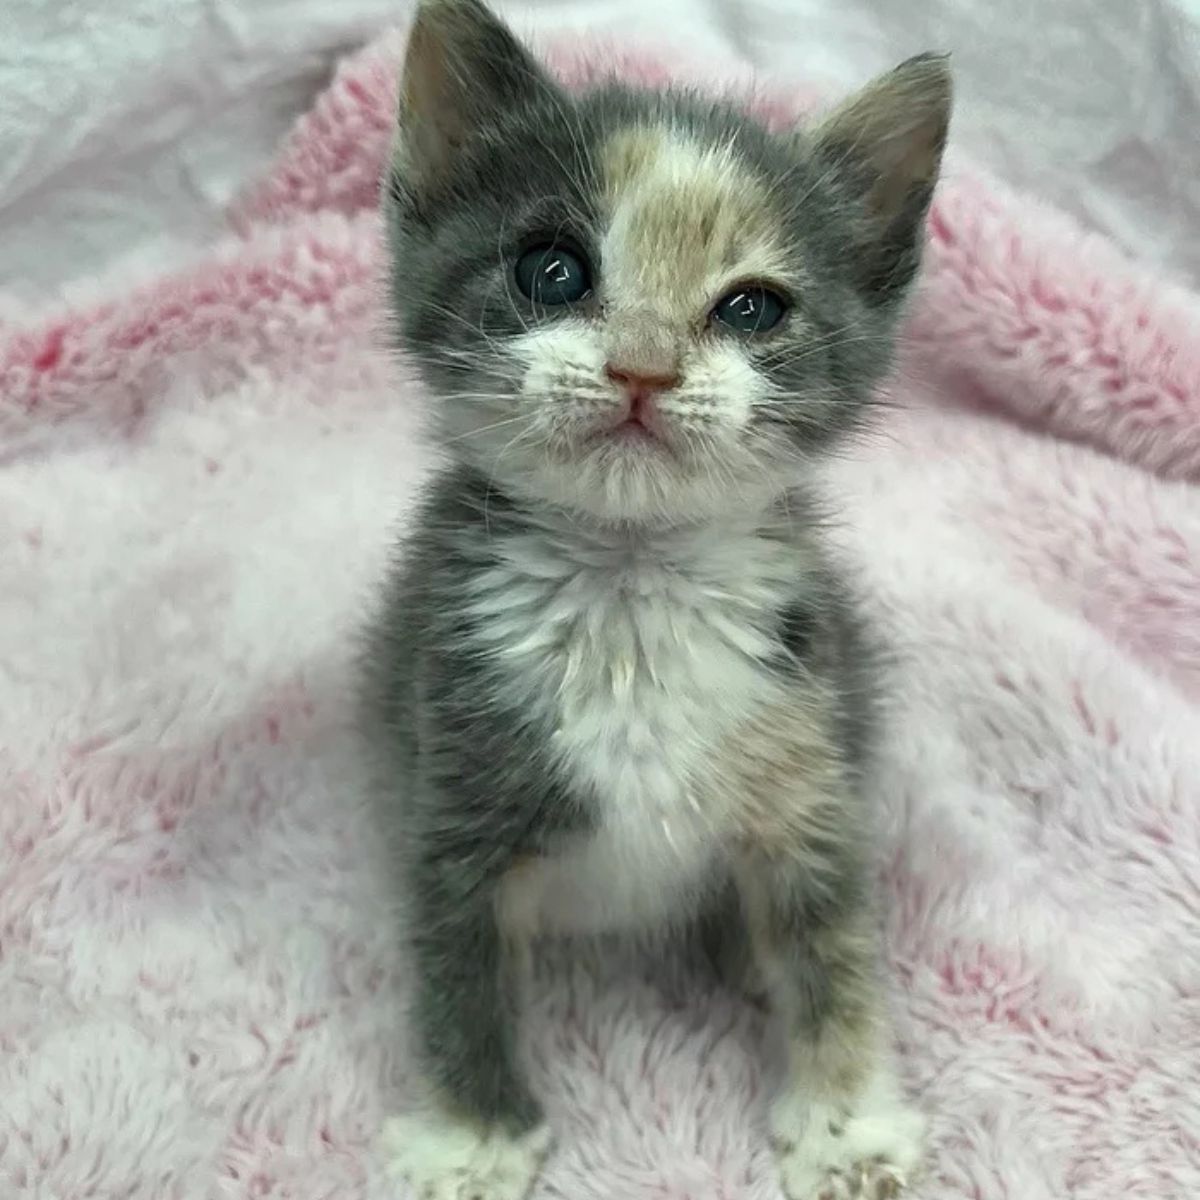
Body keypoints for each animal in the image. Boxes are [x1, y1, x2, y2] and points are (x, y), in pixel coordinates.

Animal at [360, 4, 950, 1195]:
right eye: (551, 270)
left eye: (753, 307)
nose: (643, 368)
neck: (631, 587)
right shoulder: (450, 770)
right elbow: (456, 972)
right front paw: (473, 1137)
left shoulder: (809, 757)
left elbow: (833, 945)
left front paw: (846, 1121)